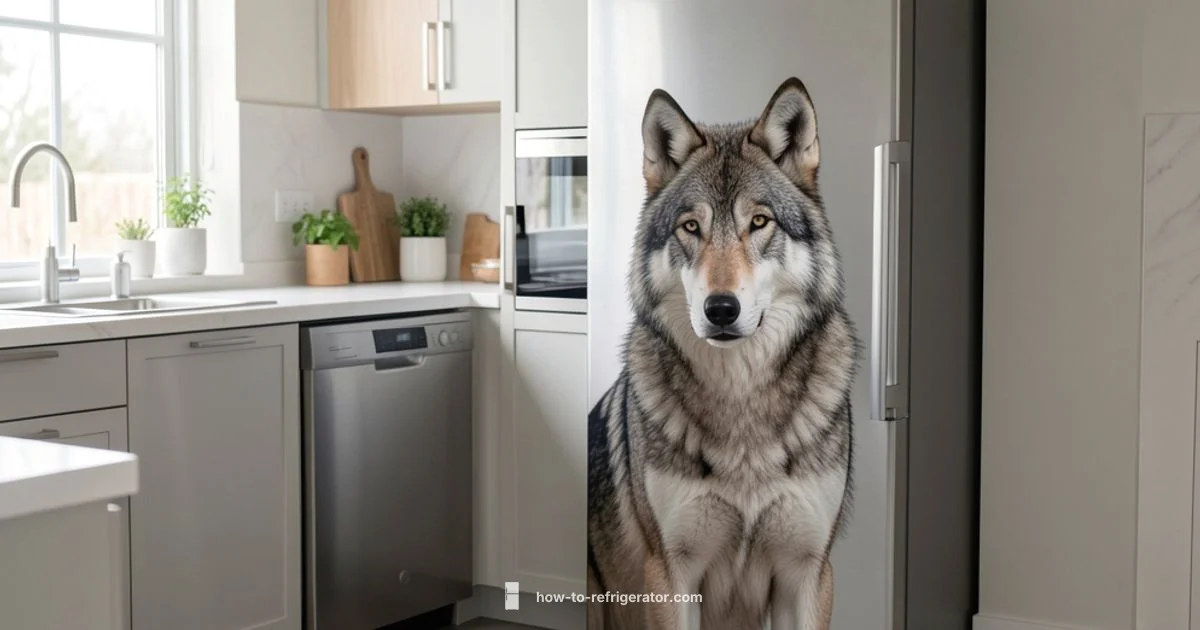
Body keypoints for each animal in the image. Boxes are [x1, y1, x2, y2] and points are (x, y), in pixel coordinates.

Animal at [586, 77, 858, 630]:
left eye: (759, 222)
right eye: (691, 227)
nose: (721, 309)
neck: (741, 398)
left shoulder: (808, 575)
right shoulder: (670, 578)